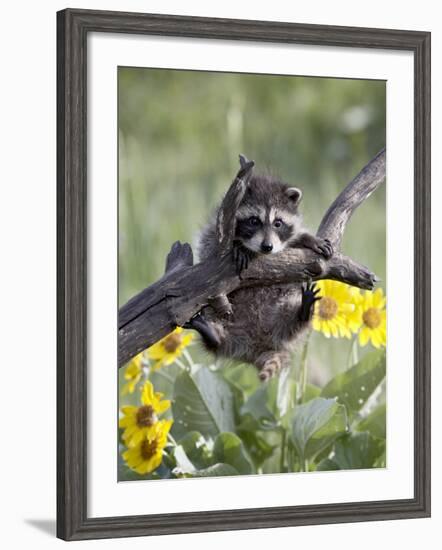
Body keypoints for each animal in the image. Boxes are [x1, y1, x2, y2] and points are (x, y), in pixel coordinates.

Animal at [189, 157, 332, 382]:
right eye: (254, 221)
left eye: (278, 223)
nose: (267, 247)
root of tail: (257, 346)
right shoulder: (214, 233)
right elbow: (208, 247)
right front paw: (239, 247)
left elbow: (297, 239)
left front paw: (308, 238)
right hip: (221, 315)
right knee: (216, 331)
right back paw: (212, 335)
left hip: (281, 314)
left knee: (294, 320)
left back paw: (303, 311)